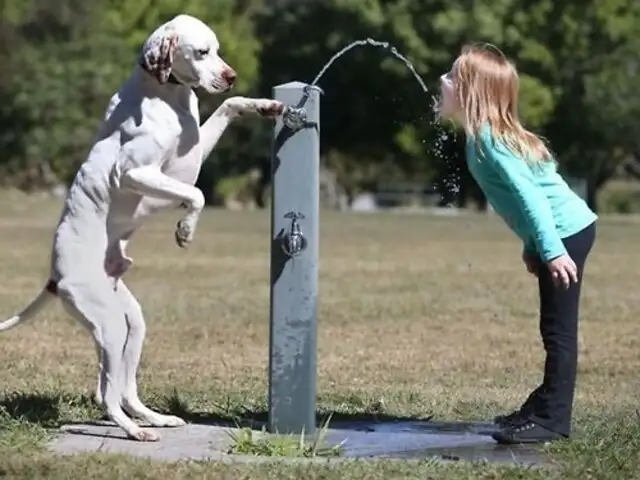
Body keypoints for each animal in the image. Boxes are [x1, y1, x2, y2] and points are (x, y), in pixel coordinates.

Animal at [0, 14, 286, 442]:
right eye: (202, 52)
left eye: (217, 50)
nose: (231, 75)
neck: (166, 94)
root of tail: (55, 277)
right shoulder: (137, 172)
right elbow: (197, 194)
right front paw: (185, 228)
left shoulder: (192, 155)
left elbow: (229, 107)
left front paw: (265, 105)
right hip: (109, 327)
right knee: (106, 394)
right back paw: (135, 431)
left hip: (131, 324)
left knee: (123, 388)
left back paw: (154, 419)